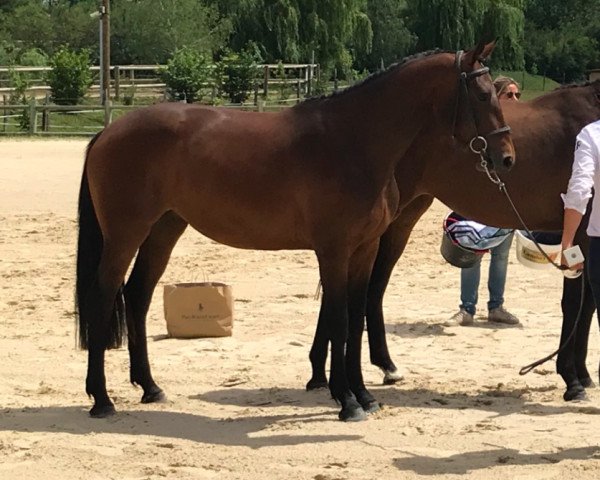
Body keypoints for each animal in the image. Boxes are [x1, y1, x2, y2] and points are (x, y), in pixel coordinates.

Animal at [76, 43, 516, 422]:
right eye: (482, 95)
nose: (507, 157)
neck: (355, 142)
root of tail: (107, 133)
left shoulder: (364, 249)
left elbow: (355, 316)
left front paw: (364, 395)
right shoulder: (334, 251)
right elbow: (339, 320)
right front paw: (346, 400)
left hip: (164, 229)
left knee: (137, 296)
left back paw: (150, 387)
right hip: (124, 235)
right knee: (104, 296)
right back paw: (101, 399)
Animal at [308, 81, 600, 402]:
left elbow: (586, 306)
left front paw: (583, 375)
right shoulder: (579, 232)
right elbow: (575, 305)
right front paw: (572, 380)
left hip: (403, 217)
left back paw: (355, 370)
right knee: (361, 291)